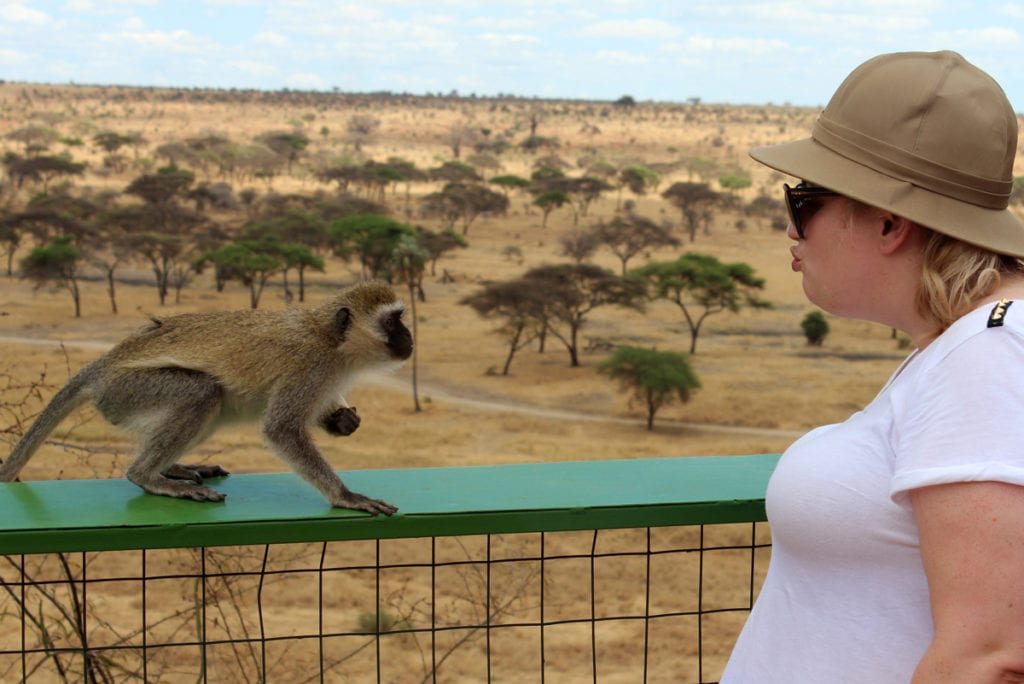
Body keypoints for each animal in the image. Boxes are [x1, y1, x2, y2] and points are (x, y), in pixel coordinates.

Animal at [4, 280, 411, 516]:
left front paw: (340, 419)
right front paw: (345, 496)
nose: (409, 338)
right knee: (202, 392)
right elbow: (281, 430)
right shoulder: (309, 368)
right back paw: (149, 476)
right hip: (126, 390)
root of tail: (102, 366)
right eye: (393, 322)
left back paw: (171, 467)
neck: (332, 341)